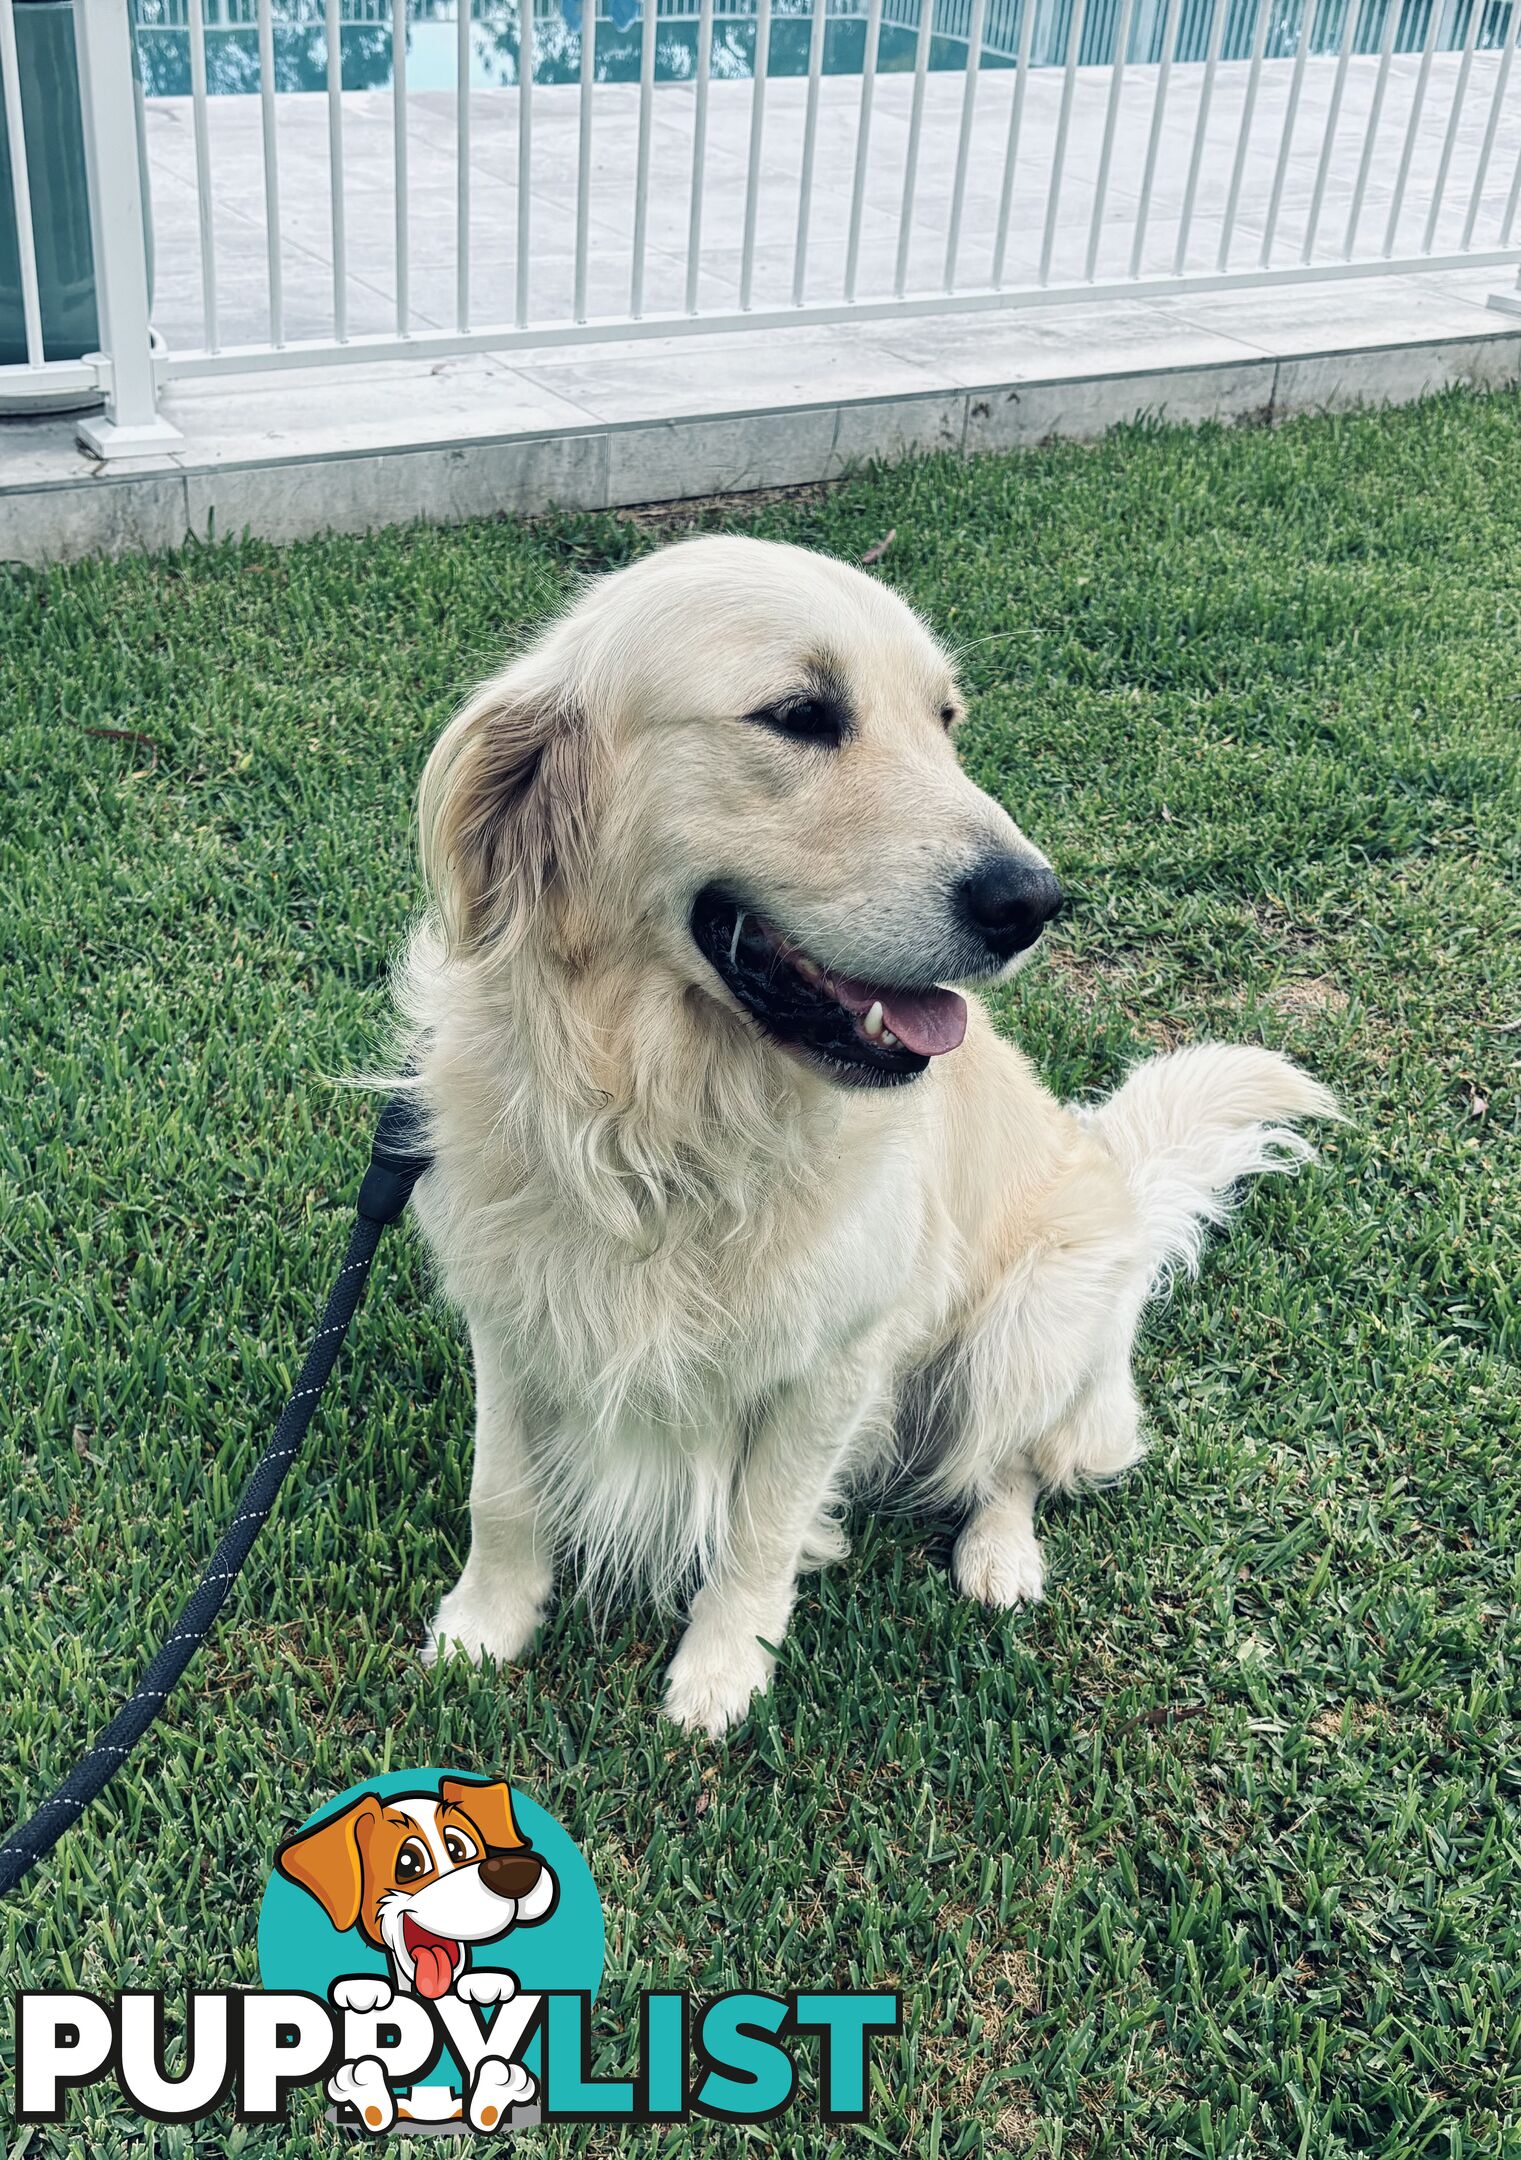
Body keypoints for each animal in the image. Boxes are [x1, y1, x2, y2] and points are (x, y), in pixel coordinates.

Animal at [395, 535, 1330, 1736]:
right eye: (799, 714)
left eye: (946, 719)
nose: (1034, 901)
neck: (666, 1114)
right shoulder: (512, 1310)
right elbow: (501, 1489)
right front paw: (484, 1626)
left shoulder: (836, 1355)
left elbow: (759, 1528)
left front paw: (721, 1673)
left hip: (1033, 1323)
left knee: (1012, 1464)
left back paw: (999, 1559)